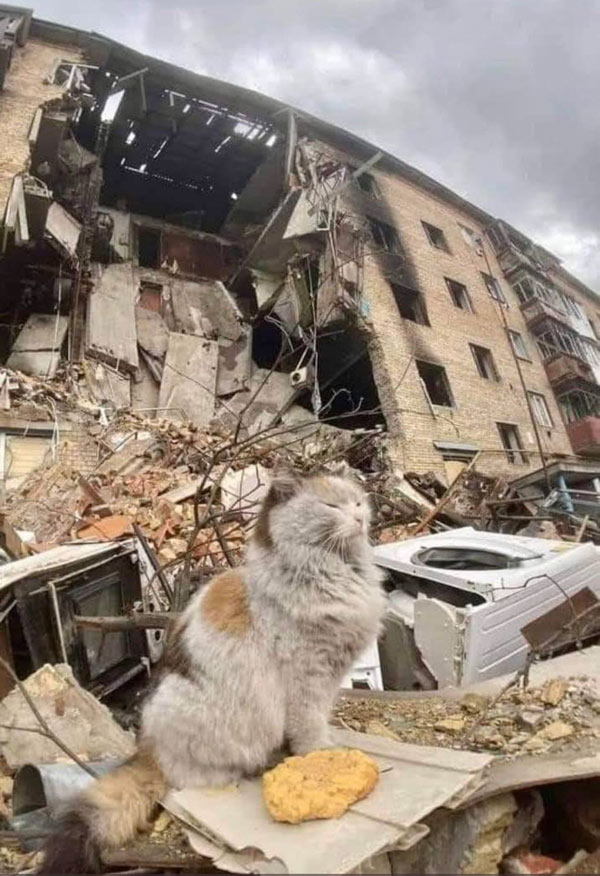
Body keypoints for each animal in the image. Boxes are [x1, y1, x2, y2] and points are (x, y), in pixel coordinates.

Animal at [39, 468, 384, 872]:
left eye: (357, 502)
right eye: (331, 506)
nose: (360, 518)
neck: (336, 572)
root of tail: (147, 750)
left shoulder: (330, 673)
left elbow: (322, 717)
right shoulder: (308, 678)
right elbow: (309, 727)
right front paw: (323, 755)